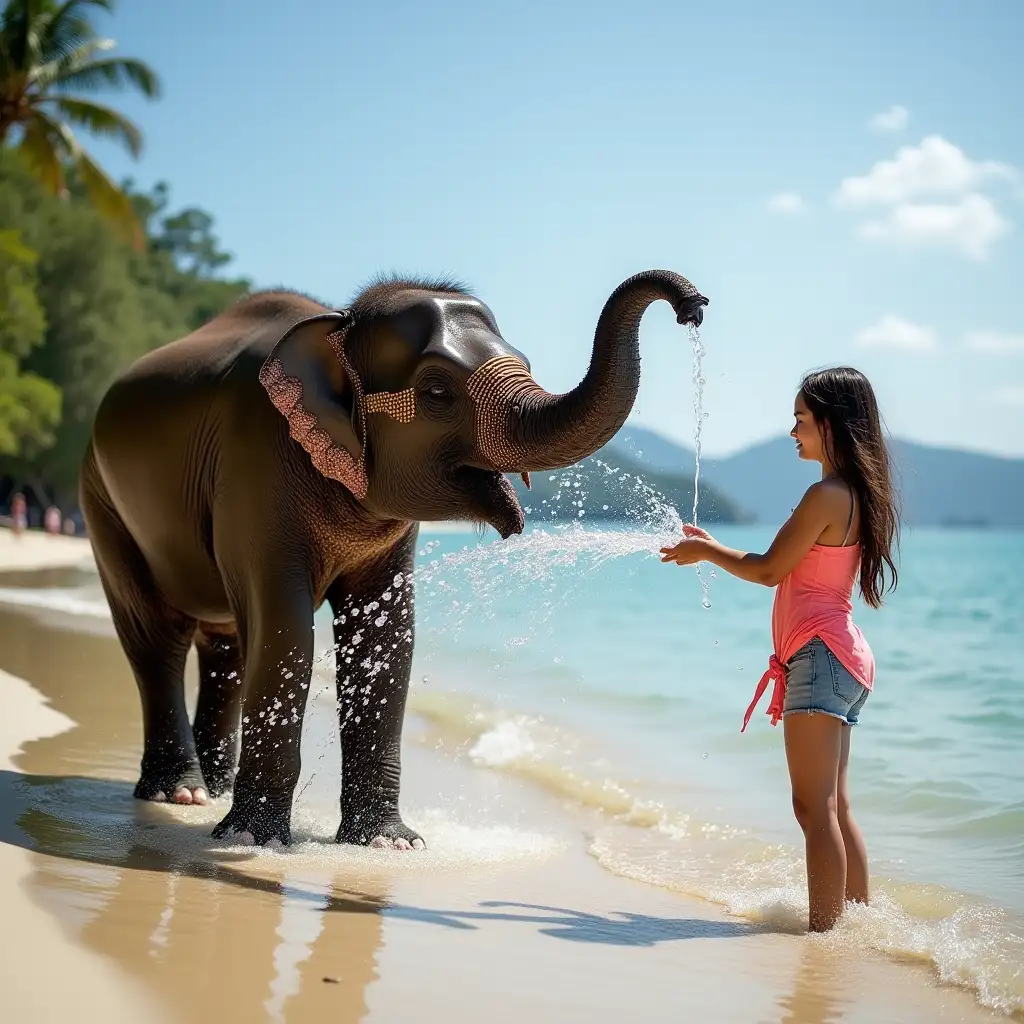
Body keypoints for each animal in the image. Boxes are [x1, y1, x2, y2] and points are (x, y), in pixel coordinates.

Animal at [79, 266, 708, 847]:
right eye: (436, 392)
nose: (693, 306)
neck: (337, 325)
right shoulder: (253, 466)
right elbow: (284, 627)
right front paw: (254, 841)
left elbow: (386, 636)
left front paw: (388, 842)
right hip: (102, 502)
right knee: (157, 638)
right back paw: (179, 795)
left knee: (226, 646)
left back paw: (212, 790)